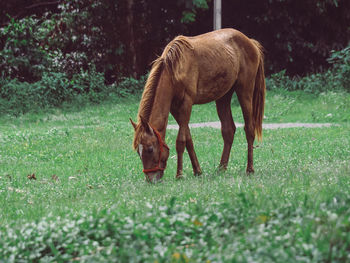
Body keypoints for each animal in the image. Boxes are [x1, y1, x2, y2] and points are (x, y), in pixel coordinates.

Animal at [131, 27, 266, 183]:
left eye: (150, 149)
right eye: (138, 151)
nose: (150, 179)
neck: (174, 69)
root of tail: (250, 42)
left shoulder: (186, 104)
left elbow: (181, 141)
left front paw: (179, 174)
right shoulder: (175, 108)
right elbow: (188, 139)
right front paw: (197, 171)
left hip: (245, 92)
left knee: (249, 129)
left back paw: (249, 169)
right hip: (223, 97)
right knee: (228, 130)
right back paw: (221, 168)